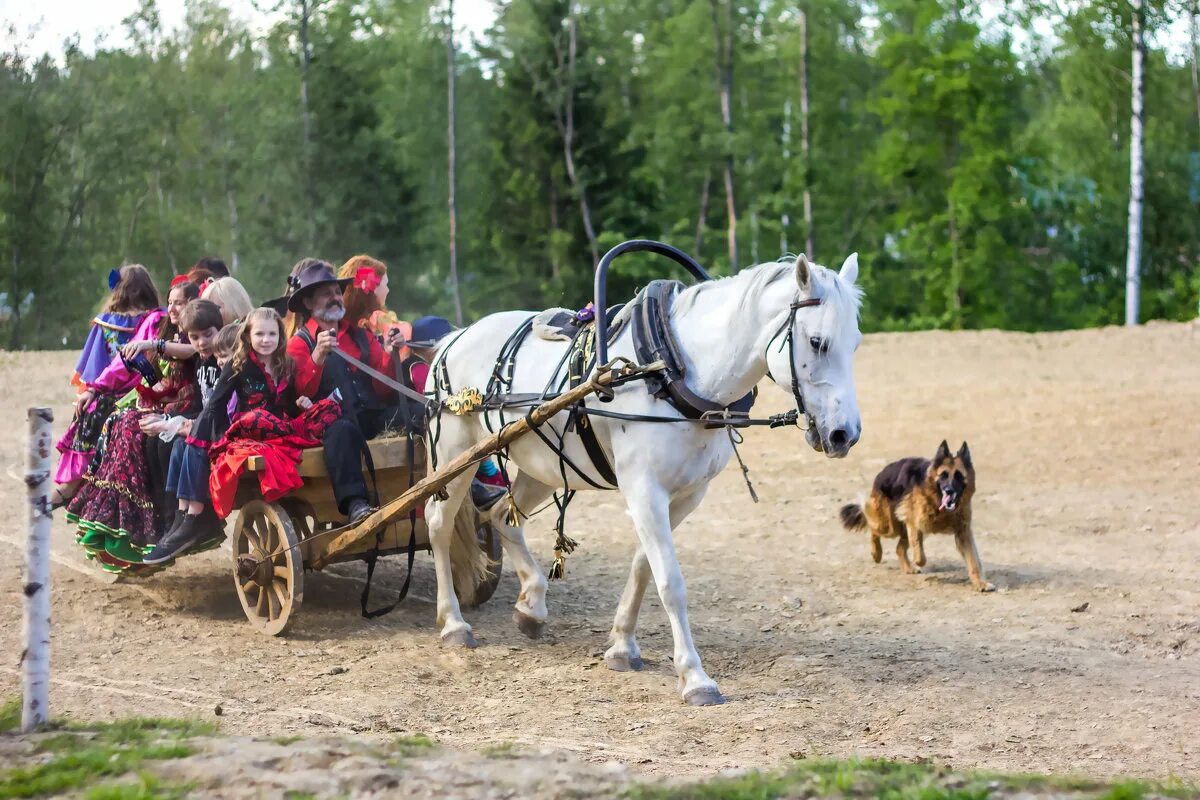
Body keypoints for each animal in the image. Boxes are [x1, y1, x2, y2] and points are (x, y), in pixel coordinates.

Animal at [422, 253, 864, 705]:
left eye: (855, 343)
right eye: (817, 342)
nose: (844, 434)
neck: (671, 372)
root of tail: (455, 337)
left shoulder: (685, 495)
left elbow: (643, 567)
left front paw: (622, 646)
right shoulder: (643, 488)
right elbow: (670, 581)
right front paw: (695, 677)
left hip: (540, 463)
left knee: (500, 516)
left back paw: (532, 605)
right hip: (455, 451)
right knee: (438, 522)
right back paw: (453, 622)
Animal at [835, 441, 993, 592]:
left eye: (959, 476)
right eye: (943, 475)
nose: (949, 491)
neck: (936, 500)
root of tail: (883, 472)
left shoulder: (963, 533)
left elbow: (974, 561)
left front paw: (980, 583)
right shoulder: (914, 522)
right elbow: (919, 554)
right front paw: (918, 560)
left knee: (899, 548)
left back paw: (907, 567)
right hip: (888, 525)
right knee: (873, 528)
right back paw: (876, 553)